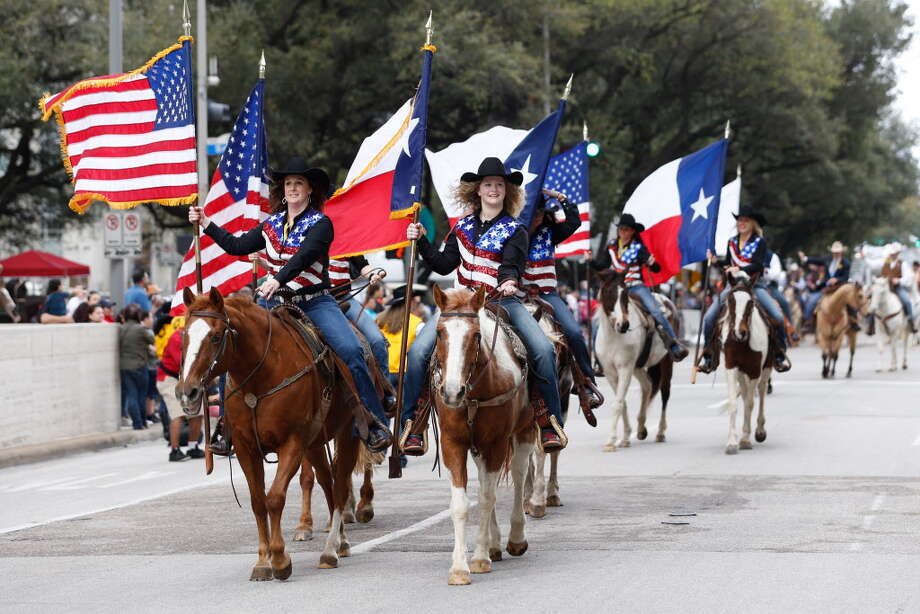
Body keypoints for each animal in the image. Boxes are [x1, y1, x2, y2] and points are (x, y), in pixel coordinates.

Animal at [177, 288, 370, 584]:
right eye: (184, 336)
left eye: (216, 336)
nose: (188, 392)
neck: (261, 376)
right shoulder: (246, 449)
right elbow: (258, 502)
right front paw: (262, 561)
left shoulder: (291, 444)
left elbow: (275, 497)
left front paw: (280, 559)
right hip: (314, 444)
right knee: (328, 481)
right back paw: (340, 541)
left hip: (346, 434)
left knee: (339, 486)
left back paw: (330, 551)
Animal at [434, 288, 536, 588]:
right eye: (439, 333)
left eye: (476, 335)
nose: (452, 392)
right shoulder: (452, 443)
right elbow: (462, 504)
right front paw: (459, 567)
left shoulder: (496, 444)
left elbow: (488, 497)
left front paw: (479, 559)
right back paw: (494, 544)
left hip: (524, 431)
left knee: (518, 476)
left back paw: (515, 539)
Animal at [592, 274, 672, 452]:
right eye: (608, 292)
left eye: (625, 295)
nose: (624, 324)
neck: (613, 336)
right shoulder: (610, 372)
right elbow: (622, 403)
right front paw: (626, 437)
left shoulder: (625, 369)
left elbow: (618, 403)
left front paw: (611, 441)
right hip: (638, 367)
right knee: (647, 386)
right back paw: (641, 428)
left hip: (665, 363)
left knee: (665, 394)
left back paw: (661, 432)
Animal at [716, 276, 772, 454]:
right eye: (730, 301)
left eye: (750, 303)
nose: (739, 332)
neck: (743, 343)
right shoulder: (731, 367)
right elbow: (734, 403)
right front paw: (732, 442)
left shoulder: (755, 370)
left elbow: (750, 403)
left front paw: (746, 439)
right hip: (741, 373)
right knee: (746, 391)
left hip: (766, 368)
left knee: (761, 391)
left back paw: (759, 431)